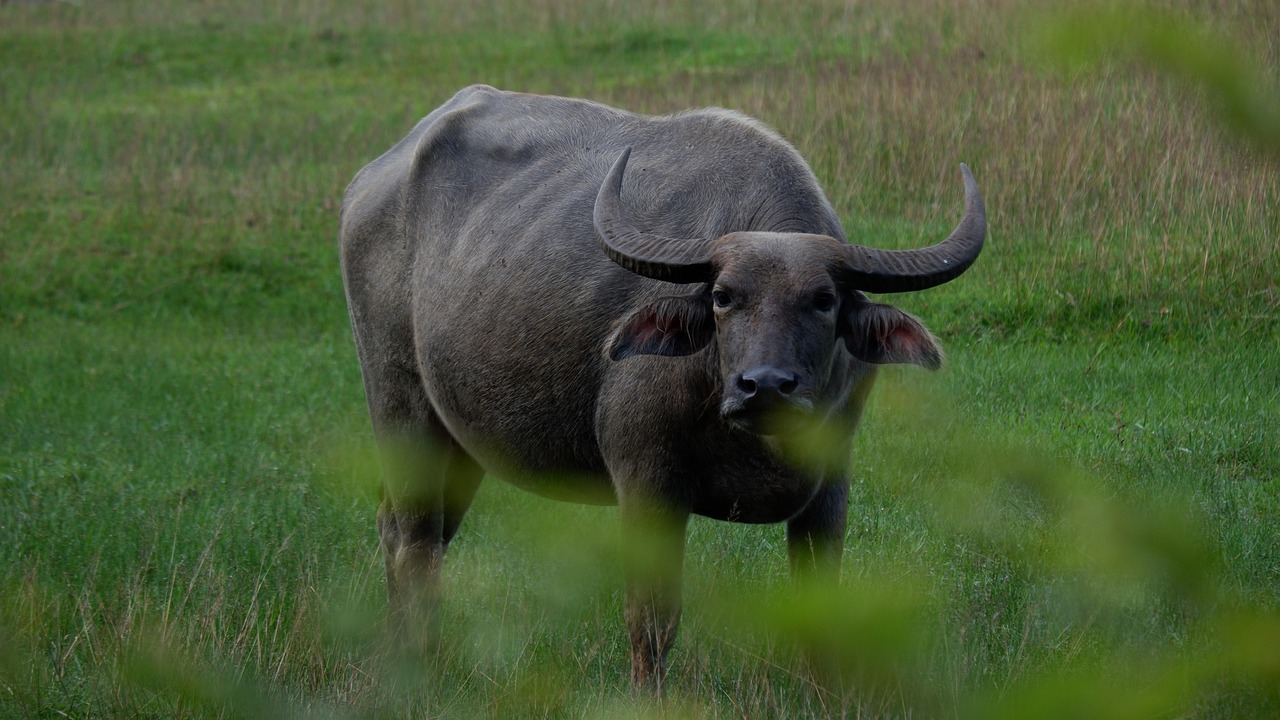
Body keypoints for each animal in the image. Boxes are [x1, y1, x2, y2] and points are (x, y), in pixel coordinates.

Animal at [340, 85, 985, 688]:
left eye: (824, 300)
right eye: (723, 296)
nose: (764, 387)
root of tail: (374, 179)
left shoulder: (830, 484)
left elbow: (823, 608)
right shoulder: (648, 482)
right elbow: (653, 619)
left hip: (460, 439)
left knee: (410, 530)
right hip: (399, 403)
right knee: (414, 538)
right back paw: (418, 663)